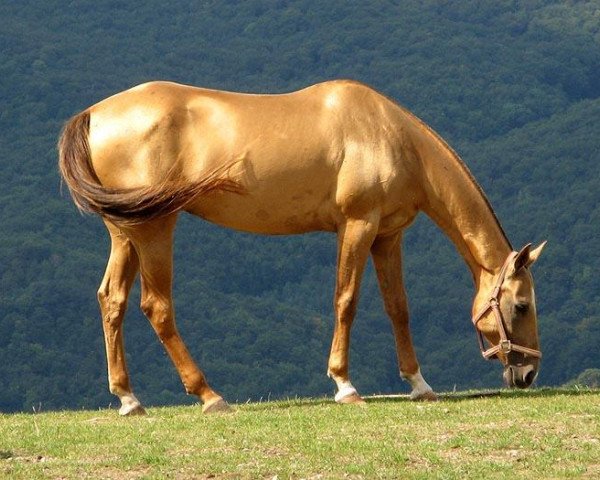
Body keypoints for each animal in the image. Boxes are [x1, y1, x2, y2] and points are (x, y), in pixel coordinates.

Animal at [58, 80, 548, 414]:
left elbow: (398, 307)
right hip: (155, 229)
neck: (391, 135)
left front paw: (419, 383)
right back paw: (209, 395)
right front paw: (344, 386)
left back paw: (128, 399)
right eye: (521, 305)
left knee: (112, 300)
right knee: (156, 306)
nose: (527, 374)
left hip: (125, 234)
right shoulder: (357, 226)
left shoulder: (387, 236)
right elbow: (346, 301)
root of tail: (94, 113)